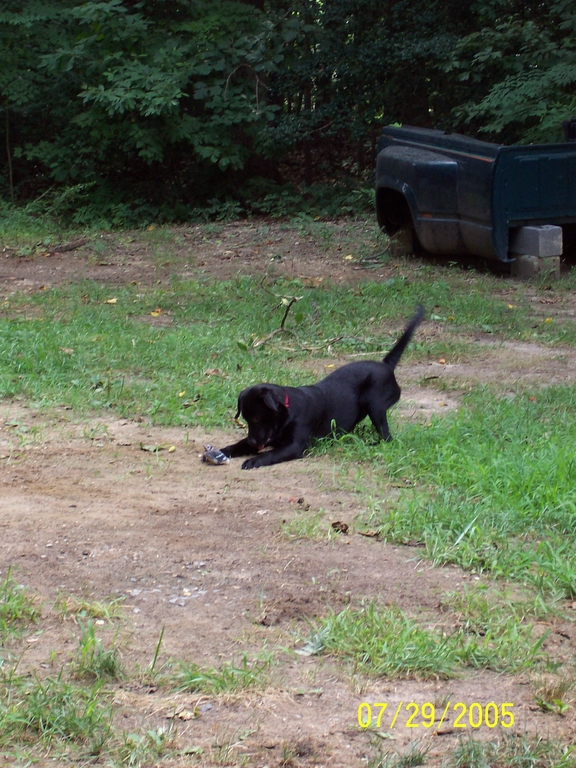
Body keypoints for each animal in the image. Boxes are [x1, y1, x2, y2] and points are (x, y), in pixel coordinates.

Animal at [223, 306, 426, 468]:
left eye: (257, 418)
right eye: (246, 419)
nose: (252, 442)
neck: (286, 413)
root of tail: (386, 365)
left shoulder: (293, 446)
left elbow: (270, 453)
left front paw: (254, 460)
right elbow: (238, 444)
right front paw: (224, 451)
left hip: (374, 405)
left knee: (387, 437)